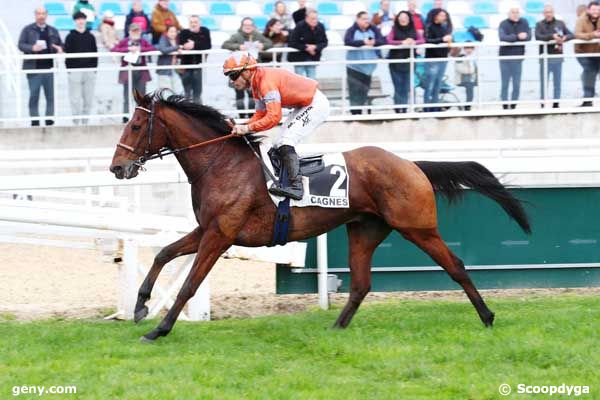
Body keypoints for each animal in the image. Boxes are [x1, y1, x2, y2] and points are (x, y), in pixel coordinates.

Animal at [108, 90, 528, 340]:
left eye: (137, 124)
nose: (116, 167)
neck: (221, 164)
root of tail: (411, 164)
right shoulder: (207, 229)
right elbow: (164, 254)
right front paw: (141, 306)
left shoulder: (220, 235)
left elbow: (190, 283)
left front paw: (159, 329)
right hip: (364, 230)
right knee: (361, 284)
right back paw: (336, 327)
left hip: (418, 227)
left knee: (455, 265)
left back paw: (487, 316)